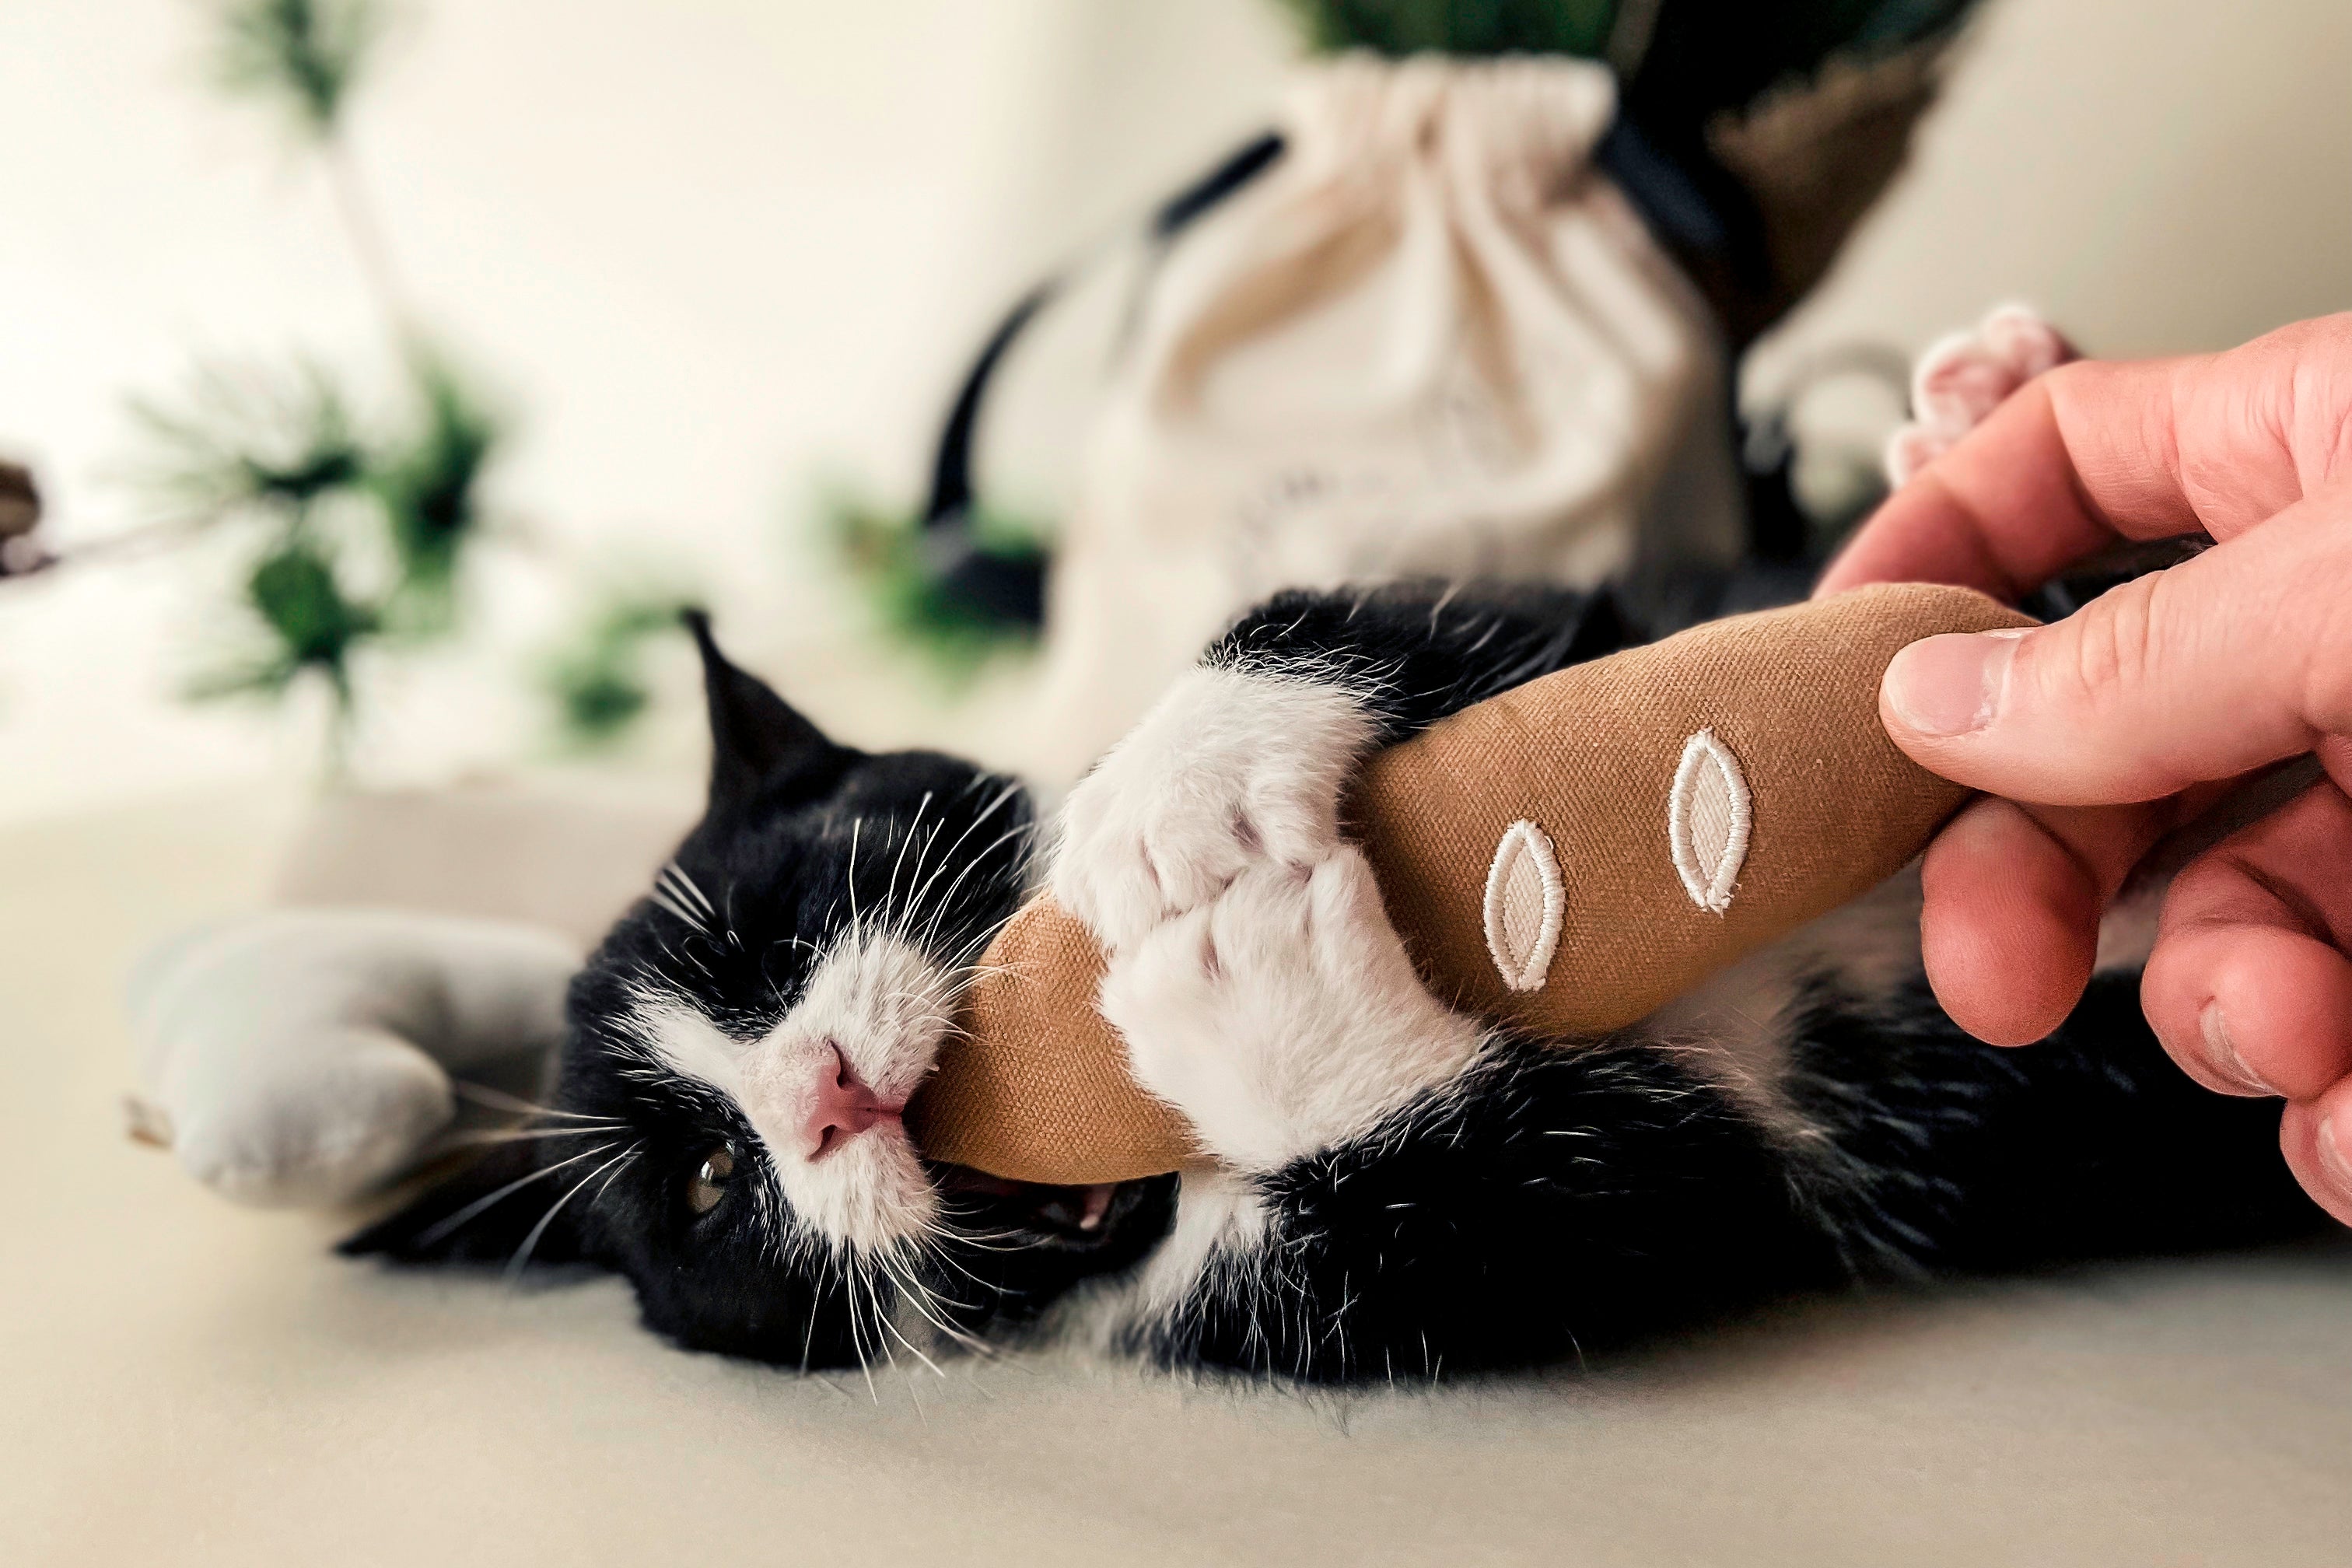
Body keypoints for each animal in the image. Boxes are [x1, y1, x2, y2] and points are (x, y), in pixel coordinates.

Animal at [348, 583, 2314, 1382]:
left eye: (774, 933)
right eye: (701, 1184)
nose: (820, 1094)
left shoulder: (1567, 611)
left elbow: (1420, 601)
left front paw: (1186, 780)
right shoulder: (1623, 1223)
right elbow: (1546, 1215)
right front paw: (1240, 980)